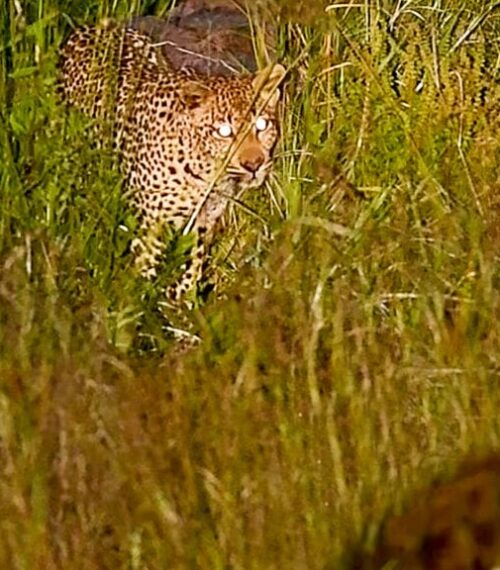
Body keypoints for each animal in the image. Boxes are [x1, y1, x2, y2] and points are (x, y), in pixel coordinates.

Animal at [58, 21, 285, 302]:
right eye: (224, 131)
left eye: (262, 125)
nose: (254, 164)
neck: (208, 175)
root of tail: (91, 26)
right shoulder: (151, 221)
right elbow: (145, 262)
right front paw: (139, 299)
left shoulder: (203, 221)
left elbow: (194, 262)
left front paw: (184, 298)